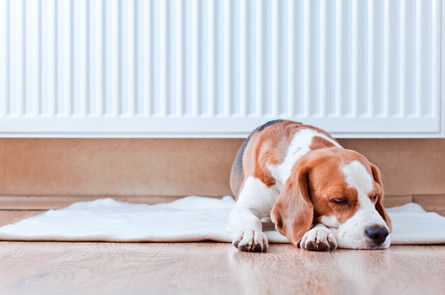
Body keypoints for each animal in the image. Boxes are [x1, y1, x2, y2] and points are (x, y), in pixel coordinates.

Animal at [227, 120, 390, 252]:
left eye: (375, 196)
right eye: (339, 200)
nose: (380, 233)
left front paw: (319, 232)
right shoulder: (245, 207)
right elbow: (251, 220)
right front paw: (251, 233)